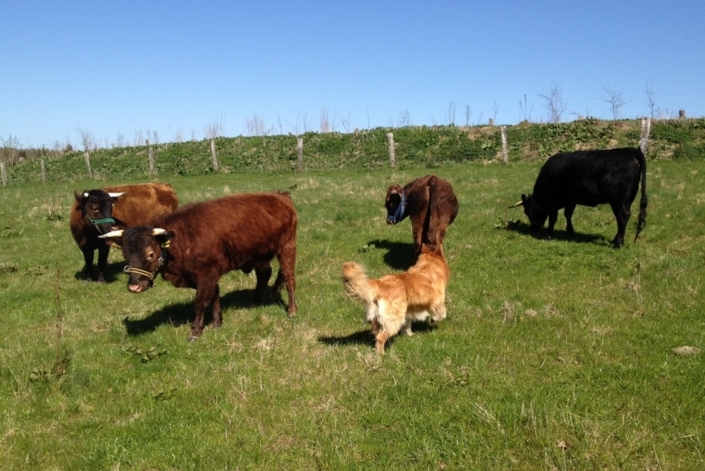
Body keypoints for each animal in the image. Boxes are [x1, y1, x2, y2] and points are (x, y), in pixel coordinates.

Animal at [99, 194, 296, 342]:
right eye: (126, 255)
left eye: (151, 254)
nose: (134, 286)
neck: (183, 237)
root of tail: (281, 196)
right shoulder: (206, 276)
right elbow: (214, 296)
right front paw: (217, 323)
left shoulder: (207, 275)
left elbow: (200, 302)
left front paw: (195, 332)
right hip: (259, 256)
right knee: (264, 273)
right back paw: (255, 301)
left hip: (287, 249)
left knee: (289, 280)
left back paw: (292, 311)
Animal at [516, 148, 648, 249]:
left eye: (528, 212)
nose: (533, 229)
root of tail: (631, 150)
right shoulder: (571, 200)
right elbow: (568, 214)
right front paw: (570, 231)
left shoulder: (553, 202)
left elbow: (553, 218)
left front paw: (548, 235)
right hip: (627, 200)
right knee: (625, 217)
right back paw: (614, 240)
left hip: (618, 201)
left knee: (622, 218)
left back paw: (618, 243)